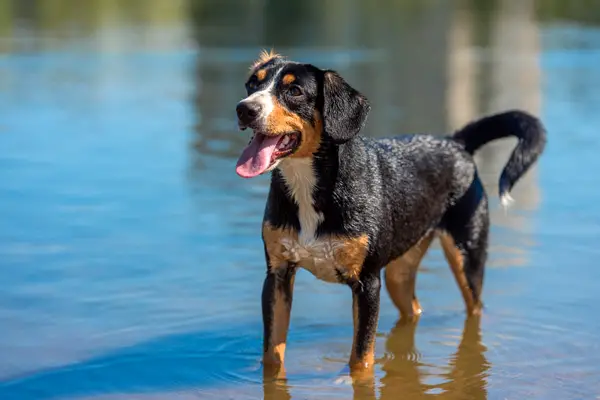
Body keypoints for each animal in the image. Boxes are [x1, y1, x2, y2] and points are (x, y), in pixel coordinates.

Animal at [232, 50, 548, 376]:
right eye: (252, 84)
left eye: (294, 91)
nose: (244, 109)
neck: (309, 186)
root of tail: (455, 142)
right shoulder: (277, 276)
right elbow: (273, 354)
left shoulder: (368, 283)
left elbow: (361, 357)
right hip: (400, 273)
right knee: (414, 309)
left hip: (467, 258)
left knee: (475, 308)